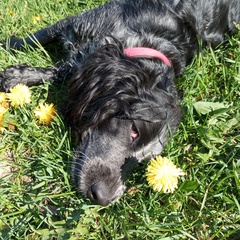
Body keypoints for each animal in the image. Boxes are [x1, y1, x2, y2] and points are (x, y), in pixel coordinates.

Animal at [0, 0, 239, 206]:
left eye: (143, 161)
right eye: (134, 131)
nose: (103, 198)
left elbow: (62, 71)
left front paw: (17, 76)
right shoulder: (75, 22)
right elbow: (34, 39)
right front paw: (10, 53)